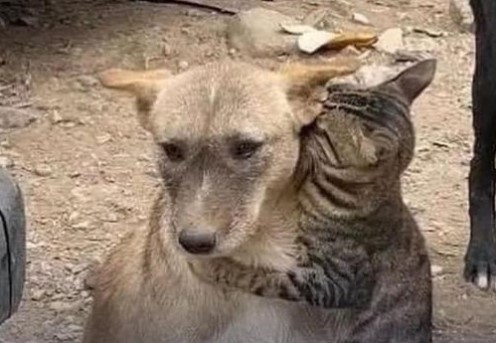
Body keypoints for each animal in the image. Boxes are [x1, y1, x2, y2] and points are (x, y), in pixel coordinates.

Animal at [188, 59, 436, 343]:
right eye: (325, 98)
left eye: (321, 128)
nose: (303, 124)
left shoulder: (332, 282)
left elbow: (263, 277)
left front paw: (214, 266)